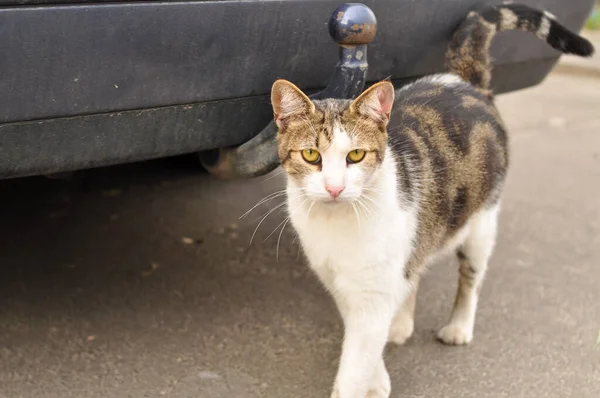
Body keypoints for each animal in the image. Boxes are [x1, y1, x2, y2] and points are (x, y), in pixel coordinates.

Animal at [270, 3, 592, 398]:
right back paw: (400, 324)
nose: (334, 188)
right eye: (311, 155)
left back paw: (458, 327)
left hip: (481, 226)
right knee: (415, 269)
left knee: (470, 279)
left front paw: (366, 379)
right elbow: (364, 341)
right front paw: (379, 377)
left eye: (356, 155)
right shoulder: (341, 283)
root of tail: (463, 80)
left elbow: (354, 366)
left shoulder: (373, 290)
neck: (335, 225)